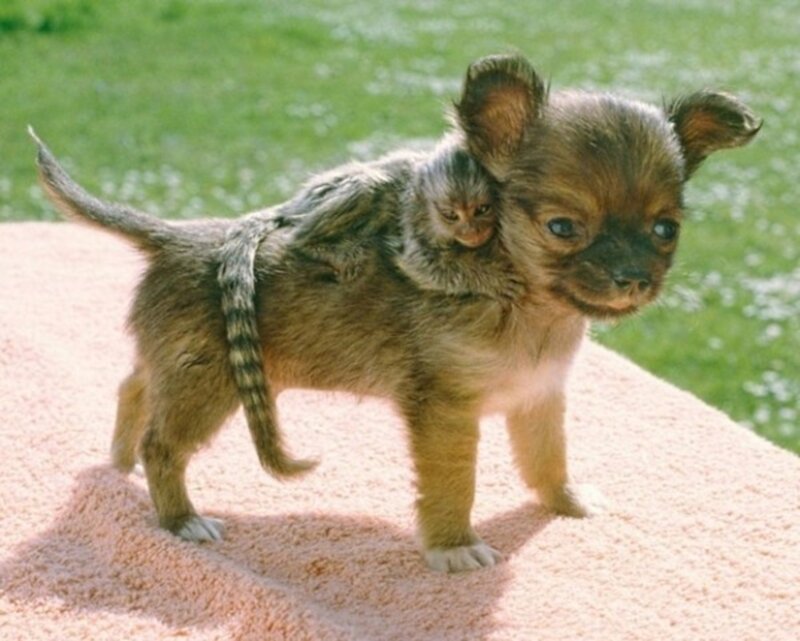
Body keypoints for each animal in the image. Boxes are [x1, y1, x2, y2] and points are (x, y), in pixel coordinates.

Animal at [33, 54, 761, 572]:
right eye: (562, 227)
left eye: (665, 230)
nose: (633, 278)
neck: (524, 302)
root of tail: (174, 236)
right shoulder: (445, 412)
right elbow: (453, 483)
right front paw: (453, 546)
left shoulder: (539, 397)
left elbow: (547, 460)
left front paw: (566, 501)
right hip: (207, 385)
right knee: (164, 442)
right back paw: (180, 518)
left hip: (175, 367)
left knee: (133, 389)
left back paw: (120, 465)